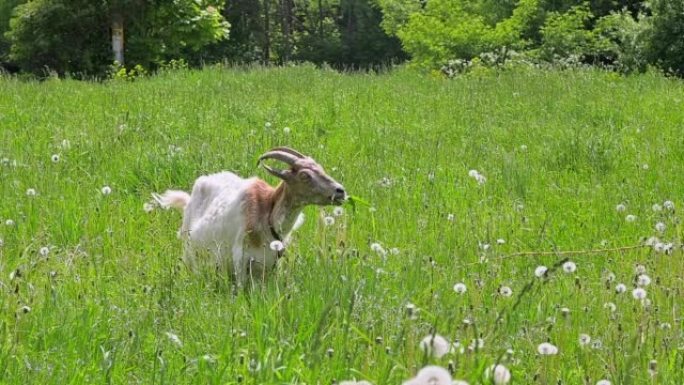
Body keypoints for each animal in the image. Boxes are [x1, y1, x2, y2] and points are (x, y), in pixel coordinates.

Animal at [155, 146, 348, 284]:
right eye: (304, 175)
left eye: (321, 169)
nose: (340, 191)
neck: (267, 216)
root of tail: (188, 199)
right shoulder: (240, 258)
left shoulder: (272, 263)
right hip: (190, 252)